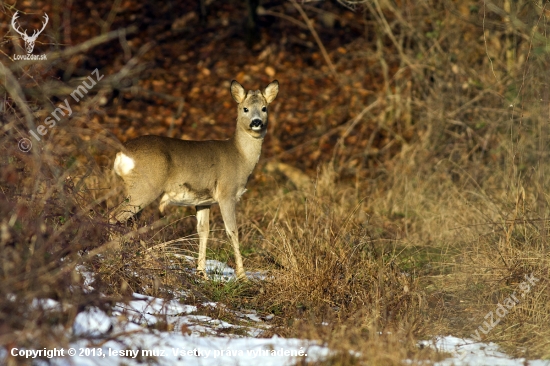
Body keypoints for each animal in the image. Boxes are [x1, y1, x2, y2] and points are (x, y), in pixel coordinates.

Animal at [111, 81, 280, 280]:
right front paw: (242, 276)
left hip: (136, 190)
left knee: (129, 221)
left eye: (264, 108)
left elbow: (203, 231)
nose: (256, 122)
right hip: (144, 188)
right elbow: (232, 232)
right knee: (115, 216)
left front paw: (201, 272)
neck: (240, 157)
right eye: (245, 108)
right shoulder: (227, 193)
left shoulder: (203, 201)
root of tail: (121, 154)